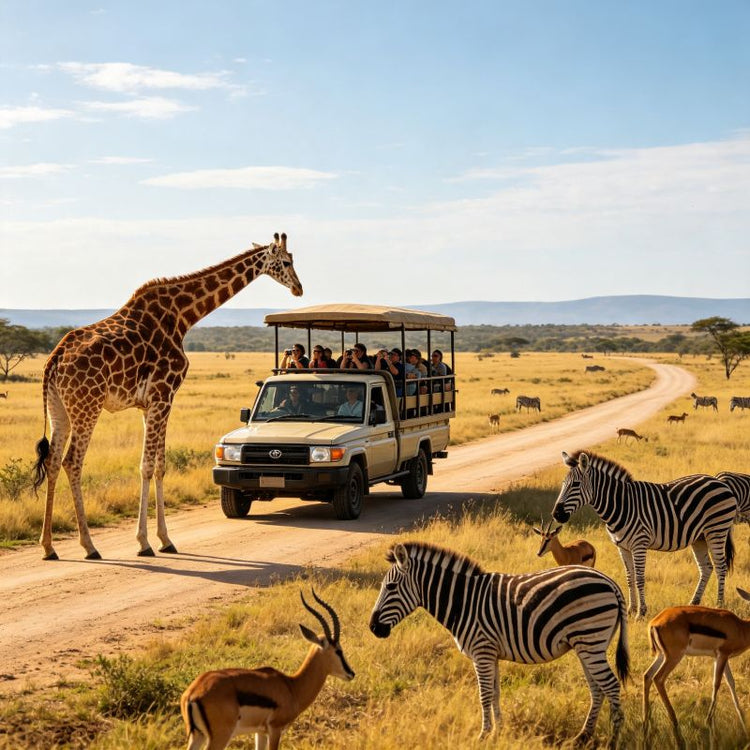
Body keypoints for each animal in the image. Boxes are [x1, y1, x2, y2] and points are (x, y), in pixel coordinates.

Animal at [33, 233, 302, 560]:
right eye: (286, 262)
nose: (299, 288)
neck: (182, 316)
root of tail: (54, 359)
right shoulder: (164, 394)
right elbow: (149, 466)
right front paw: (146, 542)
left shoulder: (148, 404)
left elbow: (159, 466)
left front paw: (163, 539)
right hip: (88, 405)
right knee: (72, 461)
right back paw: (89, 545)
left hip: (58, 408)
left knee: (53, 460)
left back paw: (48, 546)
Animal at [369, 541, 629, 747]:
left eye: (390, 587)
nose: (373, 628)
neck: (463, 602)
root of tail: (609, 582)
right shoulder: (491, 653)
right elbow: (495, 693)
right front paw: (499, 731)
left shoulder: (482, 651)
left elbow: (484, 695)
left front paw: (483, 735)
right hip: (588, 645)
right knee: (597, 689)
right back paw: (583, 736)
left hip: (590, 639)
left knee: (611, 686)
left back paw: (614, 740)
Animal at [552, 451, 737, 618]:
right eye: (563, 484)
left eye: (576, 484)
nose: (556, 514)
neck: (621, 505)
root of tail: (719, 481)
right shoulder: (623, 547)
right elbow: (630, 577)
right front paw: (630, 610)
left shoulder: (639, 544)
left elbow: (640, 578)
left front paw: (641, 613)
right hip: (700, 537)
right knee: (706, 567)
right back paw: (693, 603)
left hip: (716, 530)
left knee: (721, 566)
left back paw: (719, 605)